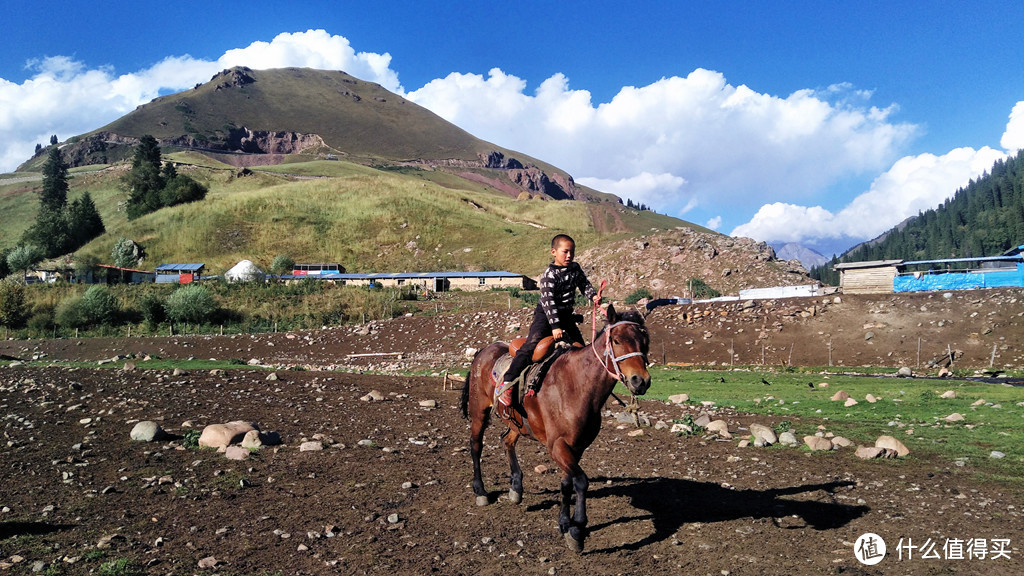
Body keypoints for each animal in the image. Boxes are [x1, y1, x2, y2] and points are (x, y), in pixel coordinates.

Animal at [462, 303, 651, 549]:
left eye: (644, 341)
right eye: (616, 340)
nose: (641, 381)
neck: (576, 385)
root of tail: (483, 351)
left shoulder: (576, 447)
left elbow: (566, 483)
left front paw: (564, 523)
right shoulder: (557, 446)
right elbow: (581, 481)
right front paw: (577, 530)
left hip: (516, 423)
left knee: (507, 442)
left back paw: (516, 487)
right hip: (479, 413)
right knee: (476, 445)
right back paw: (481, 491)